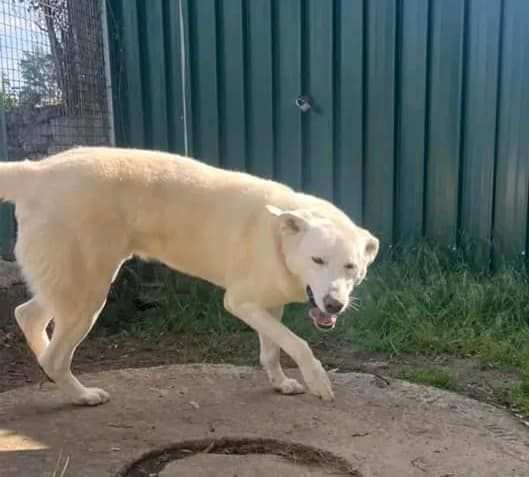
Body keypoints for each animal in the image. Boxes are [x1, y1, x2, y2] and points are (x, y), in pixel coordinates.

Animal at [4, 147, 378, 404]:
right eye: (317, 259)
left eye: (350, 267)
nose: (334, 305)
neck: (279, 237)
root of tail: (37, 170)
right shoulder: (240, 303)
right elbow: (298, 343)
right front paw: (318, 381)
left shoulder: (269, 307)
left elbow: (273, 350)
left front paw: (280, 383)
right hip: (87, 296)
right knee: (55, 355)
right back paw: (81, 395)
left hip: (73, 286)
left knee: (26, 315)